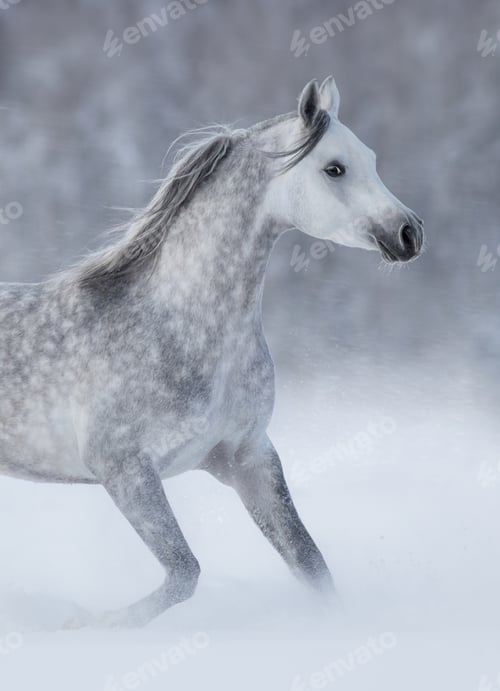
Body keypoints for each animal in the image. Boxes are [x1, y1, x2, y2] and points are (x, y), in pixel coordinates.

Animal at [0, 77, 424, 627]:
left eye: (369, 158)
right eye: (334, 167)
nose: (410, 233)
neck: (183, 325)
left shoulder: (248, 458)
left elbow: (311, 564)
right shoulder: (124, 469)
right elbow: (184, 571)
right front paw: (92, 626)